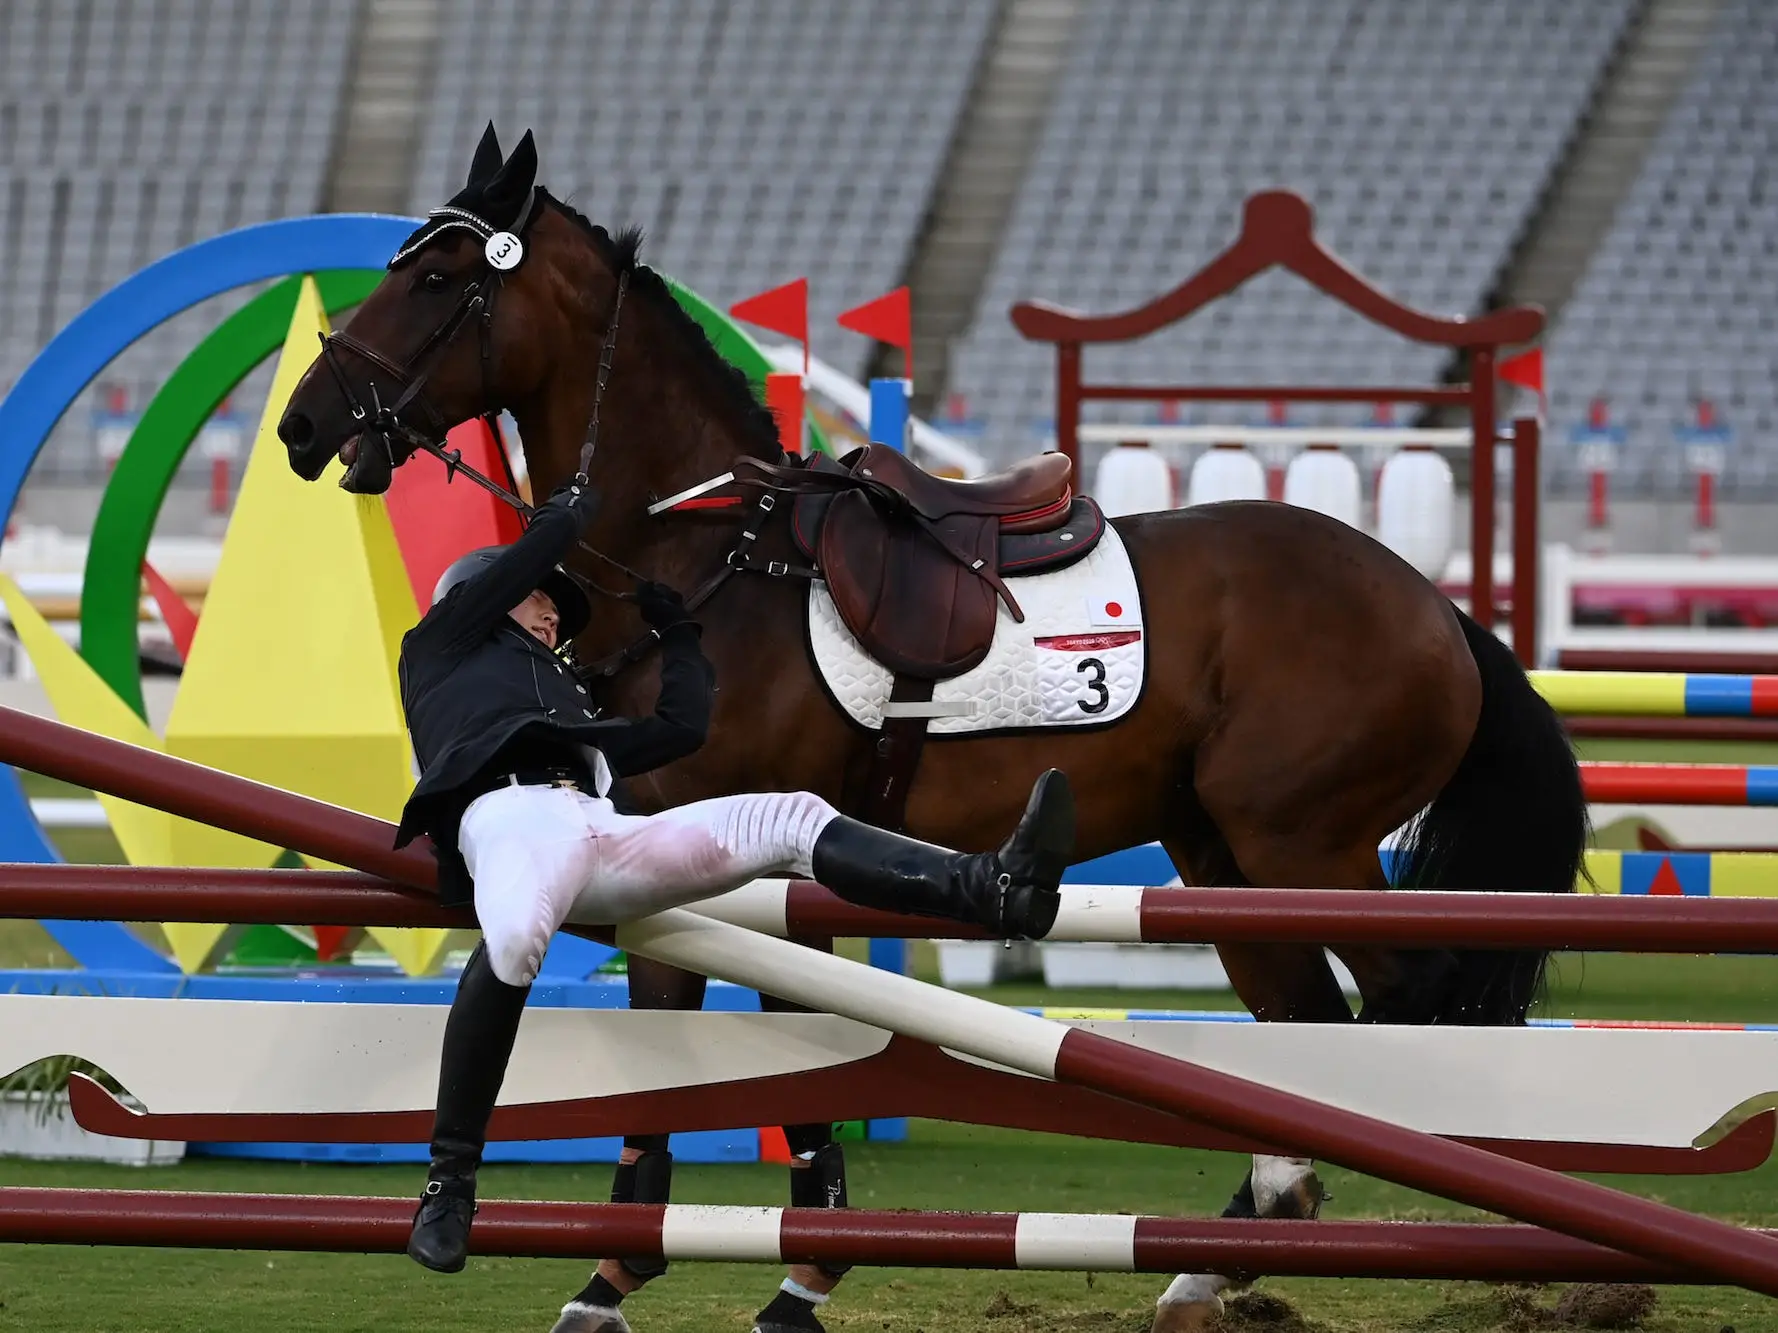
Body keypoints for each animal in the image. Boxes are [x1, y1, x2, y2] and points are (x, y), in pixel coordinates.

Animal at [276, 126, 1587, 1333]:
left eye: (438, 281)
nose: (301, 423)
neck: (709, 552)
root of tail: (1434, 606)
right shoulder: (667, 861)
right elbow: (694, 1051)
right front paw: (631, 1268)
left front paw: (784, 1269)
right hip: (1222, 858)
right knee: (1304, 1037)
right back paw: (1214, 1263)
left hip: (1301, 848)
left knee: (1409, 1012)